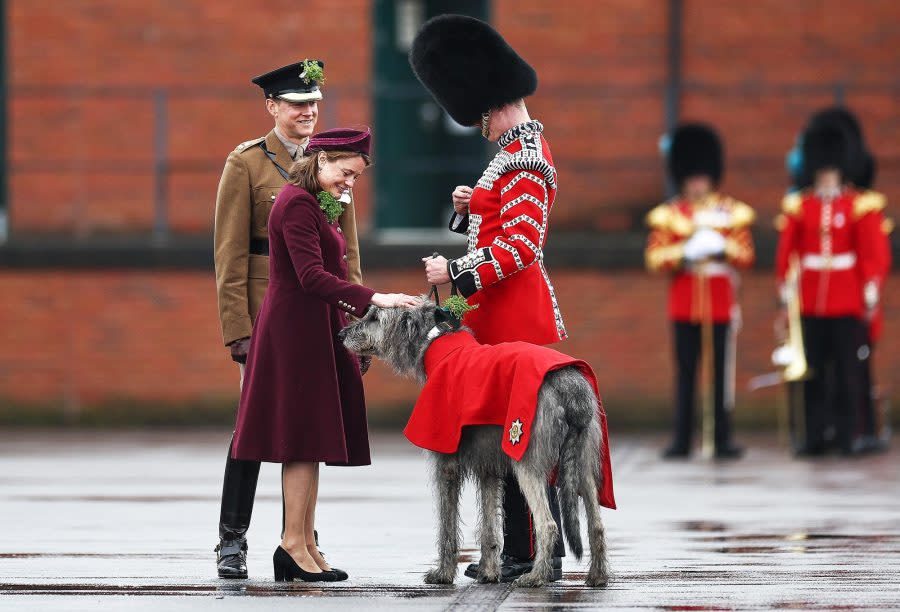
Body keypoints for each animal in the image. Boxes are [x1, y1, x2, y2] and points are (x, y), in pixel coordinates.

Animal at [340, 302, 612, 588]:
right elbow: (489, 526)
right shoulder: (488, 466)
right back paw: (597, 576)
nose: (341, 334)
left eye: (374, 317)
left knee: (547, 524)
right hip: (583, 461)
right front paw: (489, 572)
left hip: (527, 459)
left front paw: (443, 573)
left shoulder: (445, 462)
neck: (432, 342)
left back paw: (535, 576)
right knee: (596, 524)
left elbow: (446, 525)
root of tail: (571, 387)